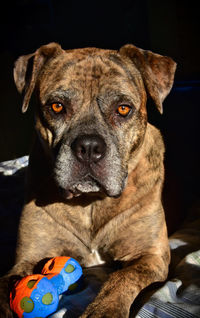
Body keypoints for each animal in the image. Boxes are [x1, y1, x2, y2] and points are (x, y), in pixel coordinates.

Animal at [0, 42, 175, 318]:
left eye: (123, 109)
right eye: (57, 106)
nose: (89, 147)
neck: (91, 202)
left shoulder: (150, 256)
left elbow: (122, 277)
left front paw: (104, 309)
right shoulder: (28, 258)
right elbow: (3, 287)